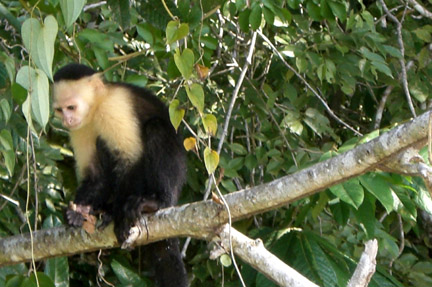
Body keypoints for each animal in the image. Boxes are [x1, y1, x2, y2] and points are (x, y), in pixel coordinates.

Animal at [53, 63, 188, 287]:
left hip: (176, 175)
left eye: (71, 107)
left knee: (156, 129)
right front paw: (79, 212)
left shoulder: (113, 107)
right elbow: (95, 175)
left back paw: (154, 203)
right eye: (59, 110)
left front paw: (119, 217)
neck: (96, 106)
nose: (67, 120)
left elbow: (130, 159)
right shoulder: (81, 127)